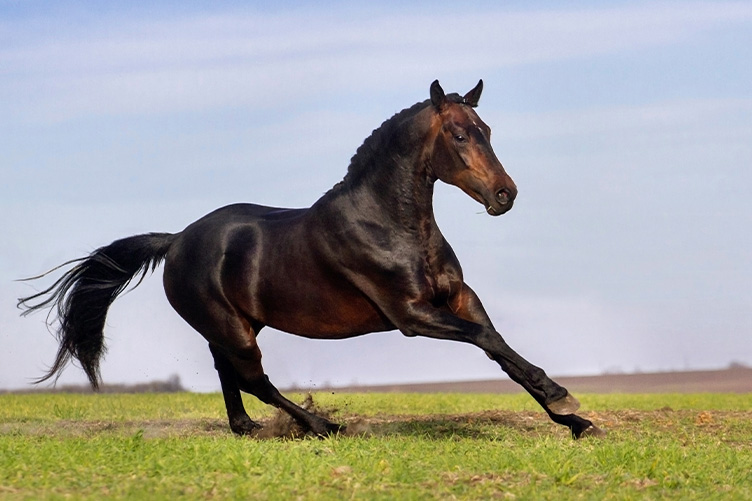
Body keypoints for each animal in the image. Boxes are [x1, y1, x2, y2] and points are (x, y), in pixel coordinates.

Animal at [18, 80, 603, 439]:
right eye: (460, 134)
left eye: (488, 131)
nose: (505, 195)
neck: (389, 223)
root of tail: (178, 239)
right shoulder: (412, 315)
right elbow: (485, 340)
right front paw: (567, 403)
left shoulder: (459, 297)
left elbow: (498, 346)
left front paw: (572, 418)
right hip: (231, 326)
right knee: (253, 378)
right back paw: (323, 427)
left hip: (236, 324)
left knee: (229, 374)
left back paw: (249, 429)